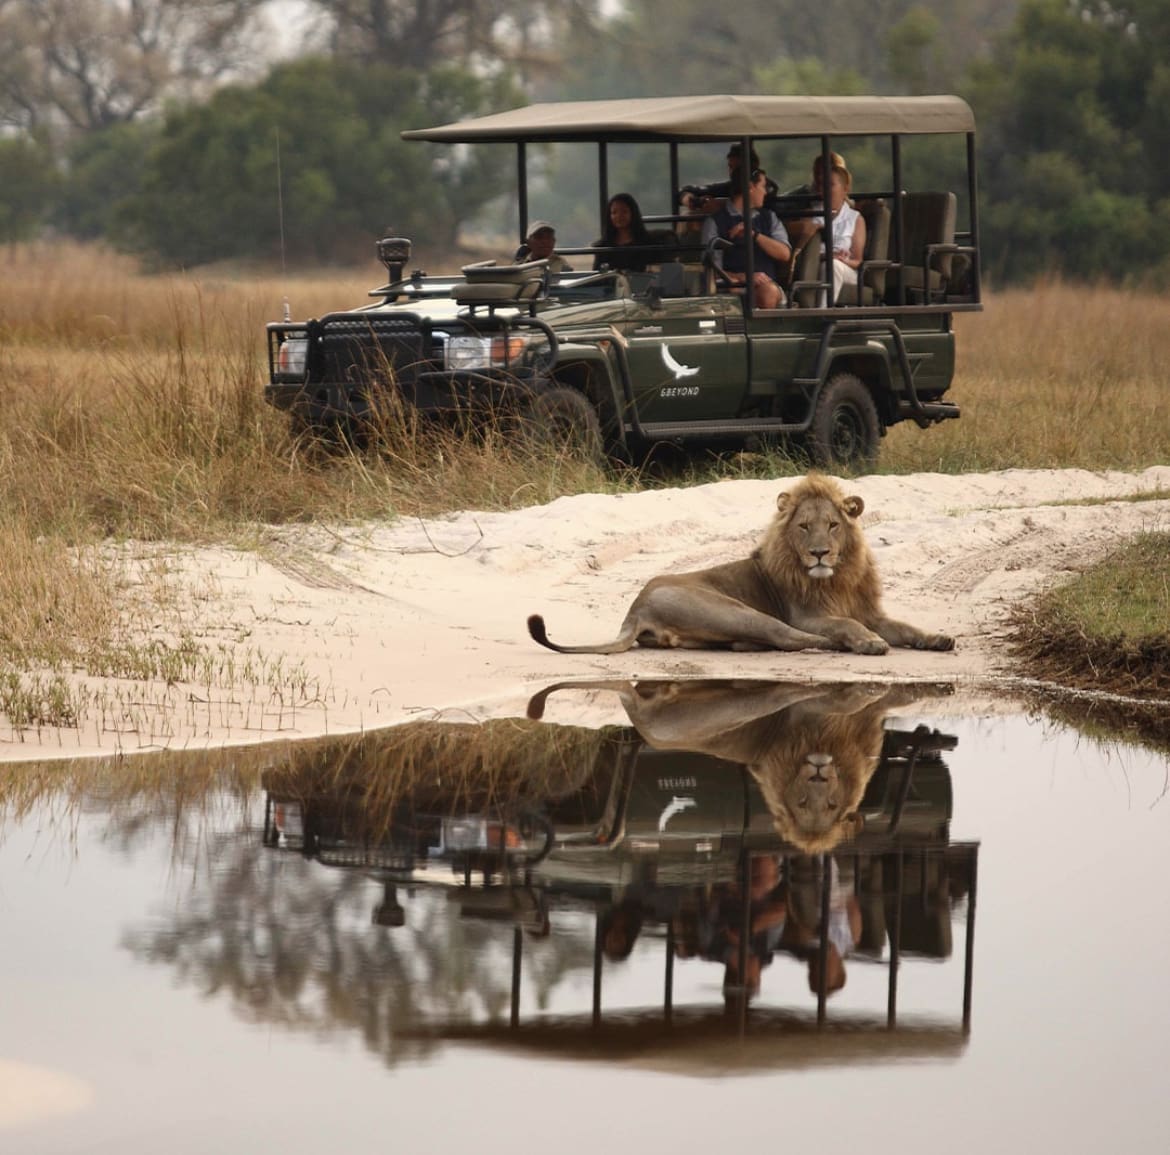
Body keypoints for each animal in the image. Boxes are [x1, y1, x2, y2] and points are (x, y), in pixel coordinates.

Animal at [527, 473, 953, 657]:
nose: (819, 553)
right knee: (788, 637)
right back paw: (832, 646)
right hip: (736, 611)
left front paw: (937, 638)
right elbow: (846, 625)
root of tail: (635, 608)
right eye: (804, 527)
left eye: (833, 525)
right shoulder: (809, 615)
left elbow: (905, 627)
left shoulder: (871, 612)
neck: (838, 578)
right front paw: (868, 641)